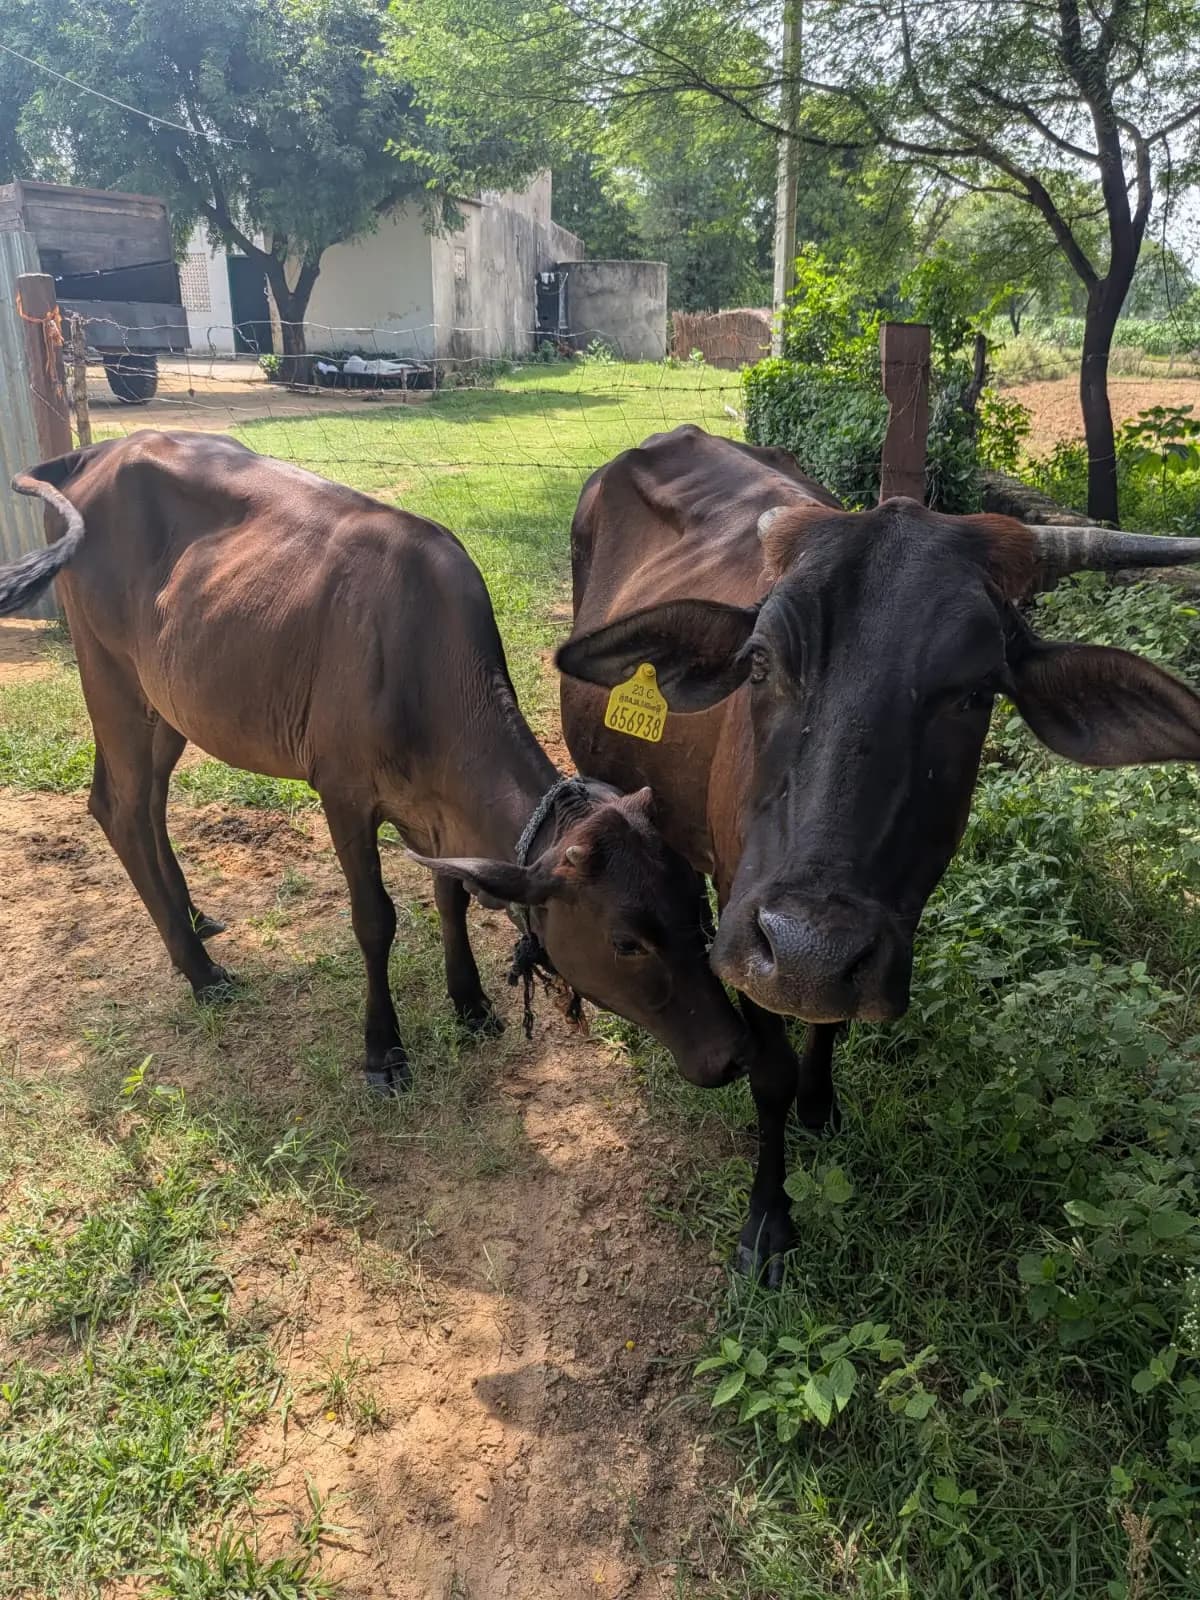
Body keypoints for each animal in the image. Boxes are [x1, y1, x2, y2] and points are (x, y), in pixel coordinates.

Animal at [4, 431, 749, 1096]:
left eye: (699, 907)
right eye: (626, 942)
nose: (732, 1054)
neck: (424, 671)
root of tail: (95, 453)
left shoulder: (436, 813)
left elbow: (451, 894)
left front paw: (471, 1004)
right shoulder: (342, 790)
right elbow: (376, 919)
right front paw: (383, 1052)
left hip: (171, 698)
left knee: (147, 800)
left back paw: (192, 917)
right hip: (110, 672)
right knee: (121, 806)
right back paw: (200, 970)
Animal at [557, 424, 1200, 1282]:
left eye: (976, 692)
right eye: (759, 662)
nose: (808, 950)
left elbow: (828, 1027)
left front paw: (821, 1103)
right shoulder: (743, 911)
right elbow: (769, 1073)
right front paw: (768, 1220)